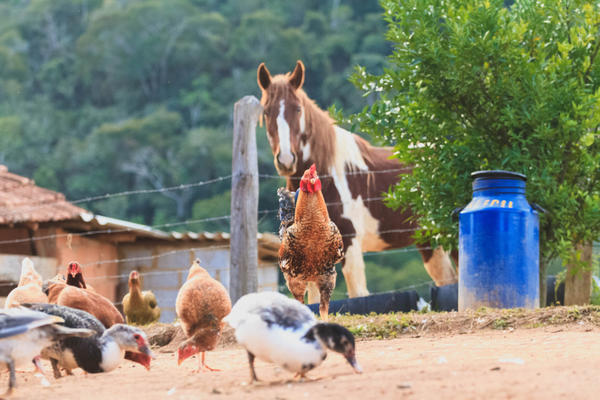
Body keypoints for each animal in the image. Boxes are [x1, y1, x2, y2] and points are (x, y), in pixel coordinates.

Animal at [255, 58, 458, 296]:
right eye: (266, 112)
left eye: (297, 109)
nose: (286, 160)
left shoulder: (350, 243)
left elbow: (357, 294)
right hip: (430, 241)